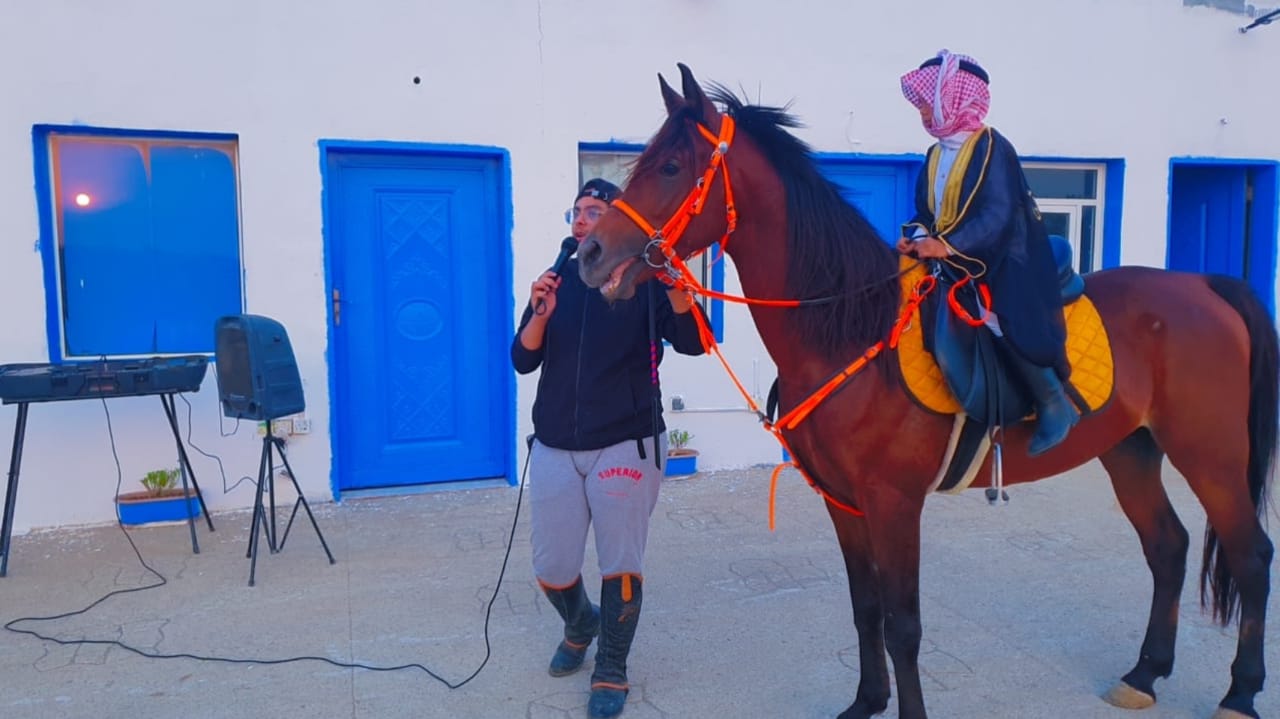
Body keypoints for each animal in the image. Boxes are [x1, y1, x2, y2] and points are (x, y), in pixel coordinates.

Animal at [577, 63, 1278, 719]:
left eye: (671, 166)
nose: (589, 254)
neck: (845, 327)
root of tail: (1205, 285)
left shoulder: (893, 502)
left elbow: (905, 627)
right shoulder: (844, 501)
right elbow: (865, 609)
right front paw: (865, 701)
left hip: (1210, 456)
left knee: (1251, 555)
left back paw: (1240, 692)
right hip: (1131, 449)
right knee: (1169, 548)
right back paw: (1145, 674)